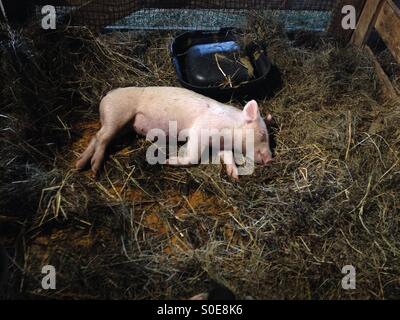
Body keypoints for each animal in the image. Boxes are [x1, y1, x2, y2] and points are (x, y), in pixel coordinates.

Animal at [76, 86, 272, 179]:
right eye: (263, 135)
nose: (270, 159)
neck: (228, 132)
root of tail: (106, 97)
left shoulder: (221, 145)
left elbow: (228, 156)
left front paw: (235, 176)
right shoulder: (200, 130)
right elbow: (193, 156)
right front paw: (169, 161)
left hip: (120, 126)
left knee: (95, 137)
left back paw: (79, 165)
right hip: (117, 115)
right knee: (101, 138)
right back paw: (94, 170)